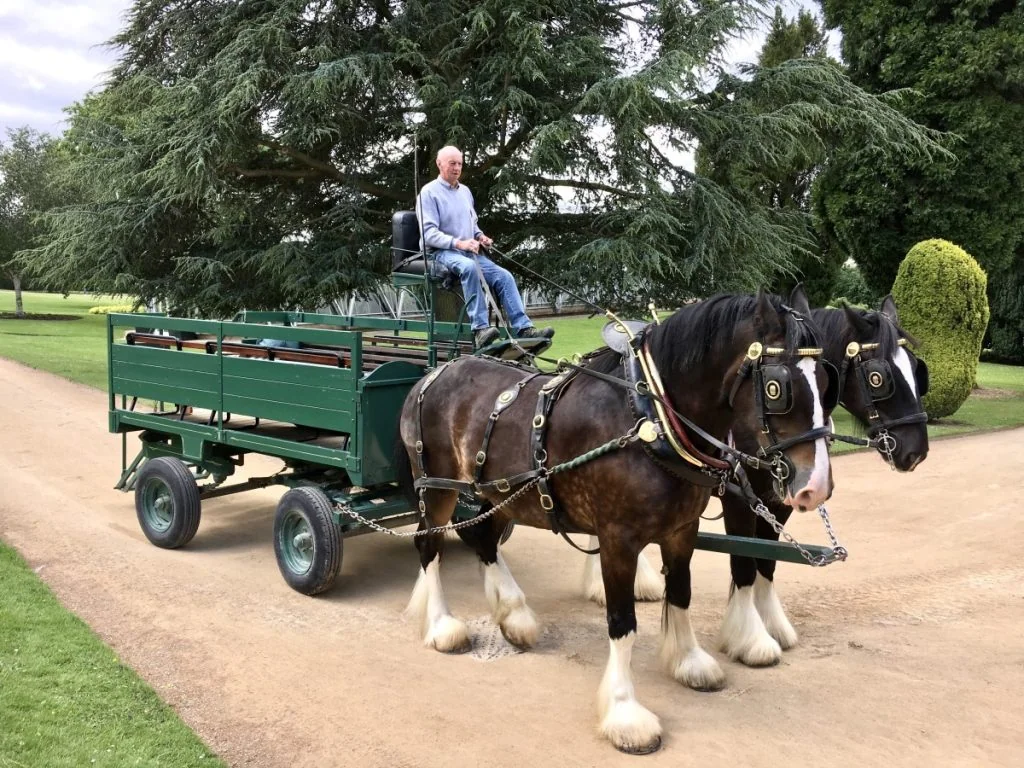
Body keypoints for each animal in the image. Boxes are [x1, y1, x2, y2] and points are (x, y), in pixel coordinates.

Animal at [395, 286, 835, 753]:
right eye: (777, 388)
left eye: (828, 383)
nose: (816, 485)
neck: (651, 419)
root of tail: (433, 373)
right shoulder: (617, 540)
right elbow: (623, 622)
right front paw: (626, 713)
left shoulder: (682, 531)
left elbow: (681, 595)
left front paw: (689, 661)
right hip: (438, 486)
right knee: (429, 543)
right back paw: (442, 625)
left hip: (502, 494)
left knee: (482, 536)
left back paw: (514, 616)